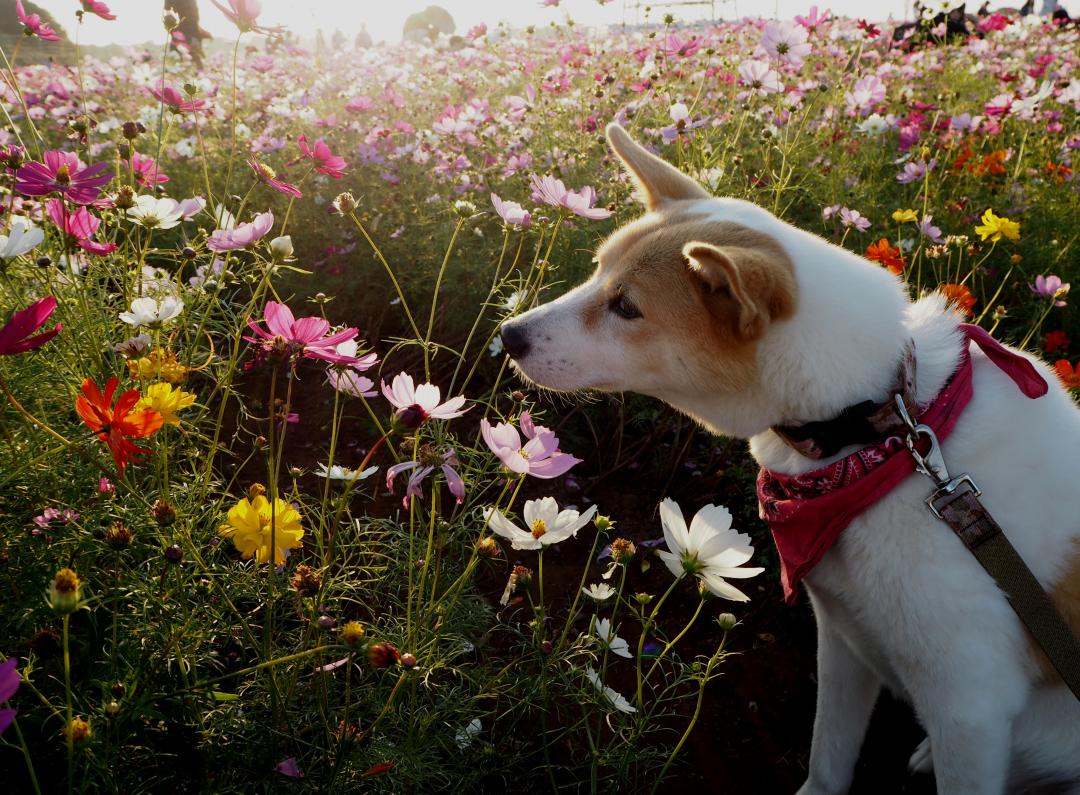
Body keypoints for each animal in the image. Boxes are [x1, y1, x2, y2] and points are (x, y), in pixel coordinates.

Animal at [501, 124, 1080, 795]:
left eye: (627, 307)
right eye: (597, 272)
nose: (508, 335)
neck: (878, 442)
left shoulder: (969, 708)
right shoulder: (845, 637)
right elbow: (828, 758)